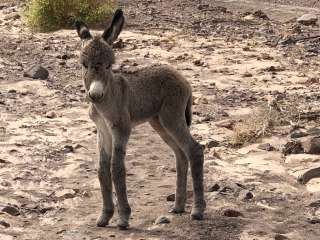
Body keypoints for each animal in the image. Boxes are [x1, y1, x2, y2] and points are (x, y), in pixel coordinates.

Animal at [75, 9, 205, 231]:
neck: (106, 99)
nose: (95, 95)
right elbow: (102, 169)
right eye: (85, 65)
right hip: (159, 122)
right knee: (180, 154)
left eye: (109, 65)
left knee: (194, 150)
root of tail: (182, 78)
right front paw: (105, 216)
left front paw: (123, 218)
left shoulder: (121, 128)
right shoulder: (102, 130)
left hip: (172, 117)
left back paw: (197, 211)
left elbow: (116, 168)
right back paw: (178, 206)